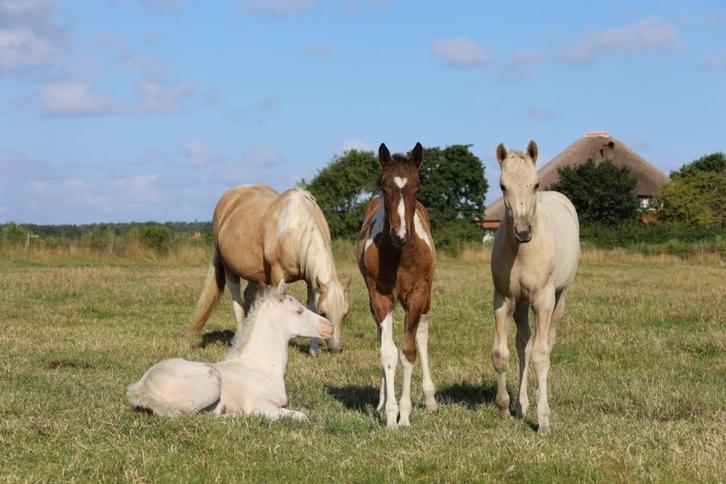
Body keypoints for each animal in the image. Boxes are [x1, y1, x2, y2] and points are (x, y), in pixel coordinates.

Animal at [128, 281, 333, 419]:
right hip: (210, 384)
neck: (262, 368)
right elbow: (301, 415)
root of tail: (143, 387)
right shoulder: (261, 406)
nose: (329, 326)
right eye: (298, 311)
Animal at [187, 185, 349, 354]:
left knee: (248, 298)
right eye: (324, 312)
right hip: (230, 271)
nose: (335, 349)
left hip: (255, 275)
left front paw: (313, 350)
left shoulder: (311, 281)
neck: (294, 228)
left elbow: (311, 307)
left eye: (345, 314)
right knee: (237, 303)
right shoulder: (278, 276)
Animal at [356, 142, 437, 428]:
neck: (401, 255)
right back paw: (381, 403)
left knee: (422, 336)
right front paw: (391, 415)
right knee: (383, 339)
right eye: (384, 187)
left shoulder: (417, 296)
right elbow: (388, 352)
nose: (400, 235)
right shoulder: (380, 299)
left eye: (417, 187)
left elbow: (409, 351)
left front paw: (405, 415)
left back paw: (431, 399)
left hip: (425, 300)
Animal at [490, 140, 580, 435]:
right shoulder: (504, 299)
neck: (522, 251)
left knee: (547, 343)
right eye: (502, 185)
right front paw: (504, 408)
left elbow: (541, 355)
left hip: (559, 298)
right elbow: (502, 354)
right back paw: (521, 405)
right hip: (520, 303)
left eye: (536, 183)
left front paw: (543, 421)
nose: (522, 232)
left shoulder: (543, 299)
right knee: (524, 344)